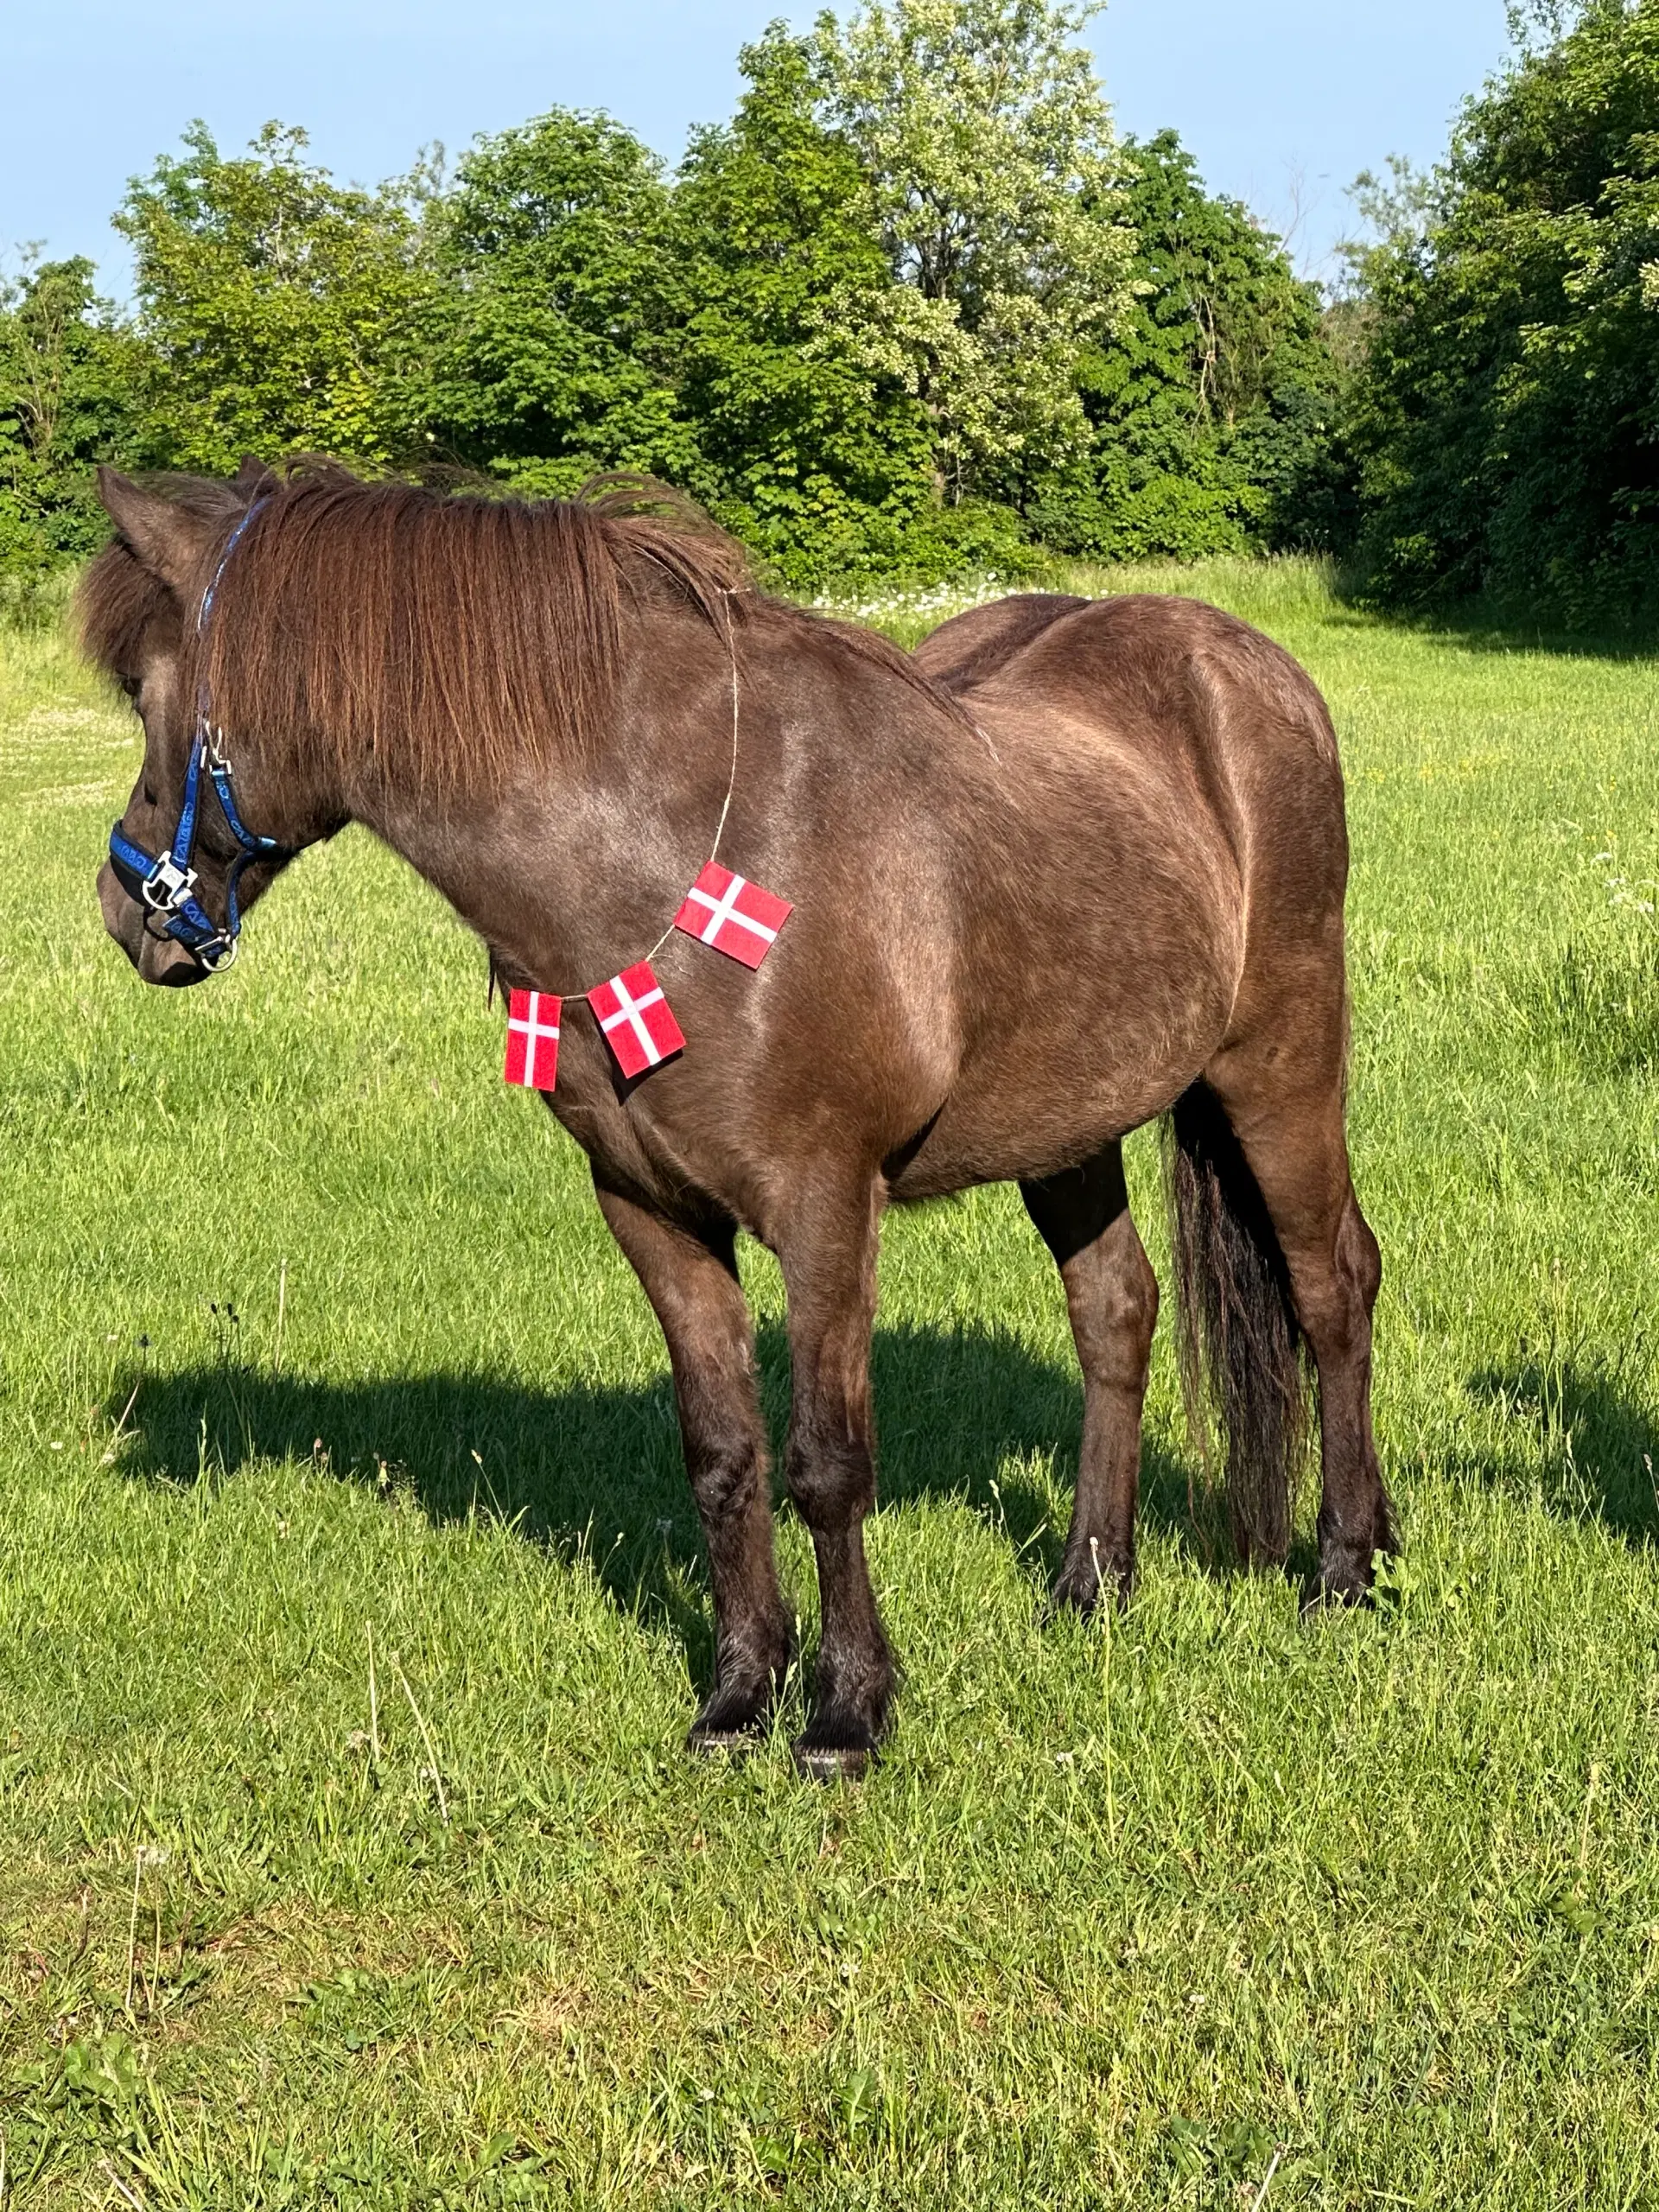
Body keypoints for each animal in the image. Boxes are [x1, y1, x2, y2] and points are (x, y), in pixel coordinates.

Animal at [84, 467, 1397, 1778]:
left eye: (144, 689)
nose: (126, 905)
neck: (657, 858)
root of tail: (1247, 667)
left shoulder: (825, 1209)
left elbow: (826, 1464)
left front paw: (847, 1710)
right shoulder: (652, 1213)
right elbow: (723, 1456)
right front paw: (737, 1695)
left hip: (1278, 1063)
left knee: (1332, 1284)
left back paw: (1348, 1564)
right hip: (1070, 1120)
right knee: (1116, 1310)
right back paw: (1092, 1585)